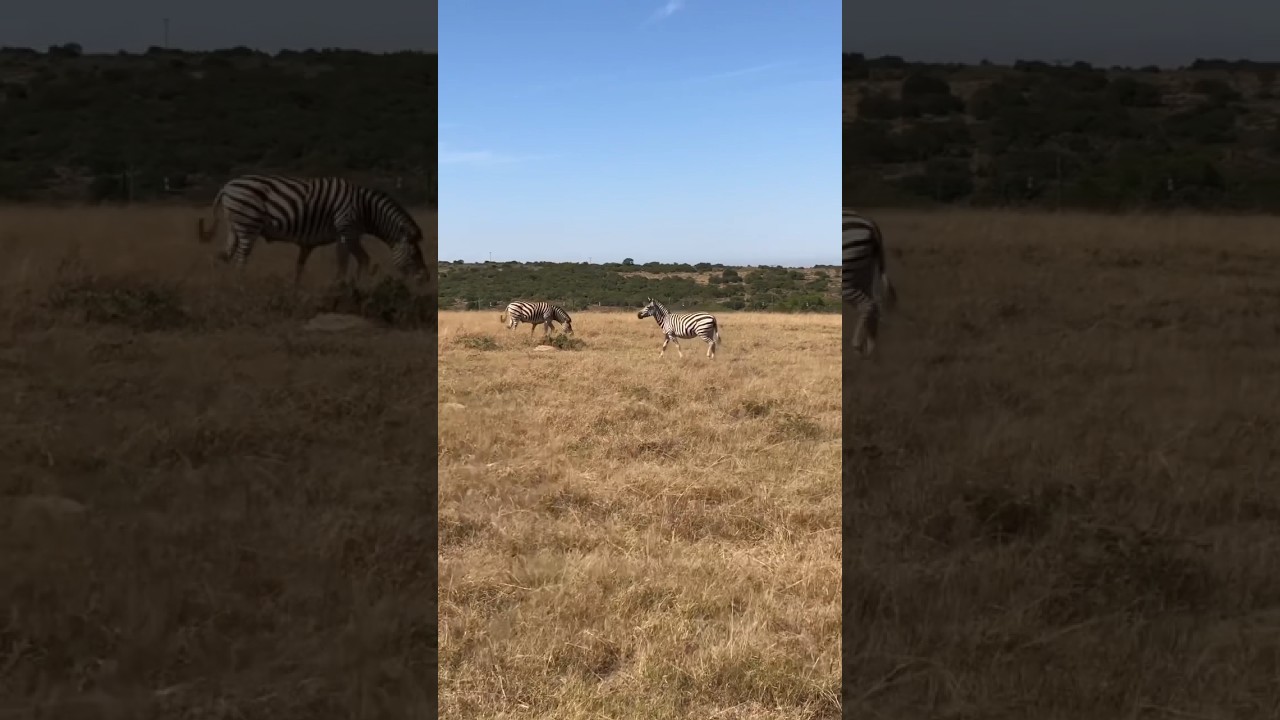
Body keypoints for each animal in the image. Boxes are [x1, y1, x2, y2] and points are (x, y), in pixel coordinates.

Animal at [195, 174, 428, 285]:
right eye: (415, 255)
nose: (424, 282)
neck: (366, 210)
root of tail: (227, 186)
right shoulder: (346, 231)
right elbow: (352, 261)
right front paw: (345, 286)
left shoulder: (347, 235)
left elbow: (357, 260)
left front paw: (356, 285)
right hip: (248, 222)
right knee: (240, 259)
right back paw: (239, 286)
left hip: (234, 226)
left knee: (222, 255)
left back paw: (220, 283)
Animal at [843, 208, 898, 356]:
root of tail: (870, 223)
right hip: (864, 271)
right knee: (874, 304)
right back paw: (870, 349)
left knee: (867, 304)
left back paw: (858, 346)